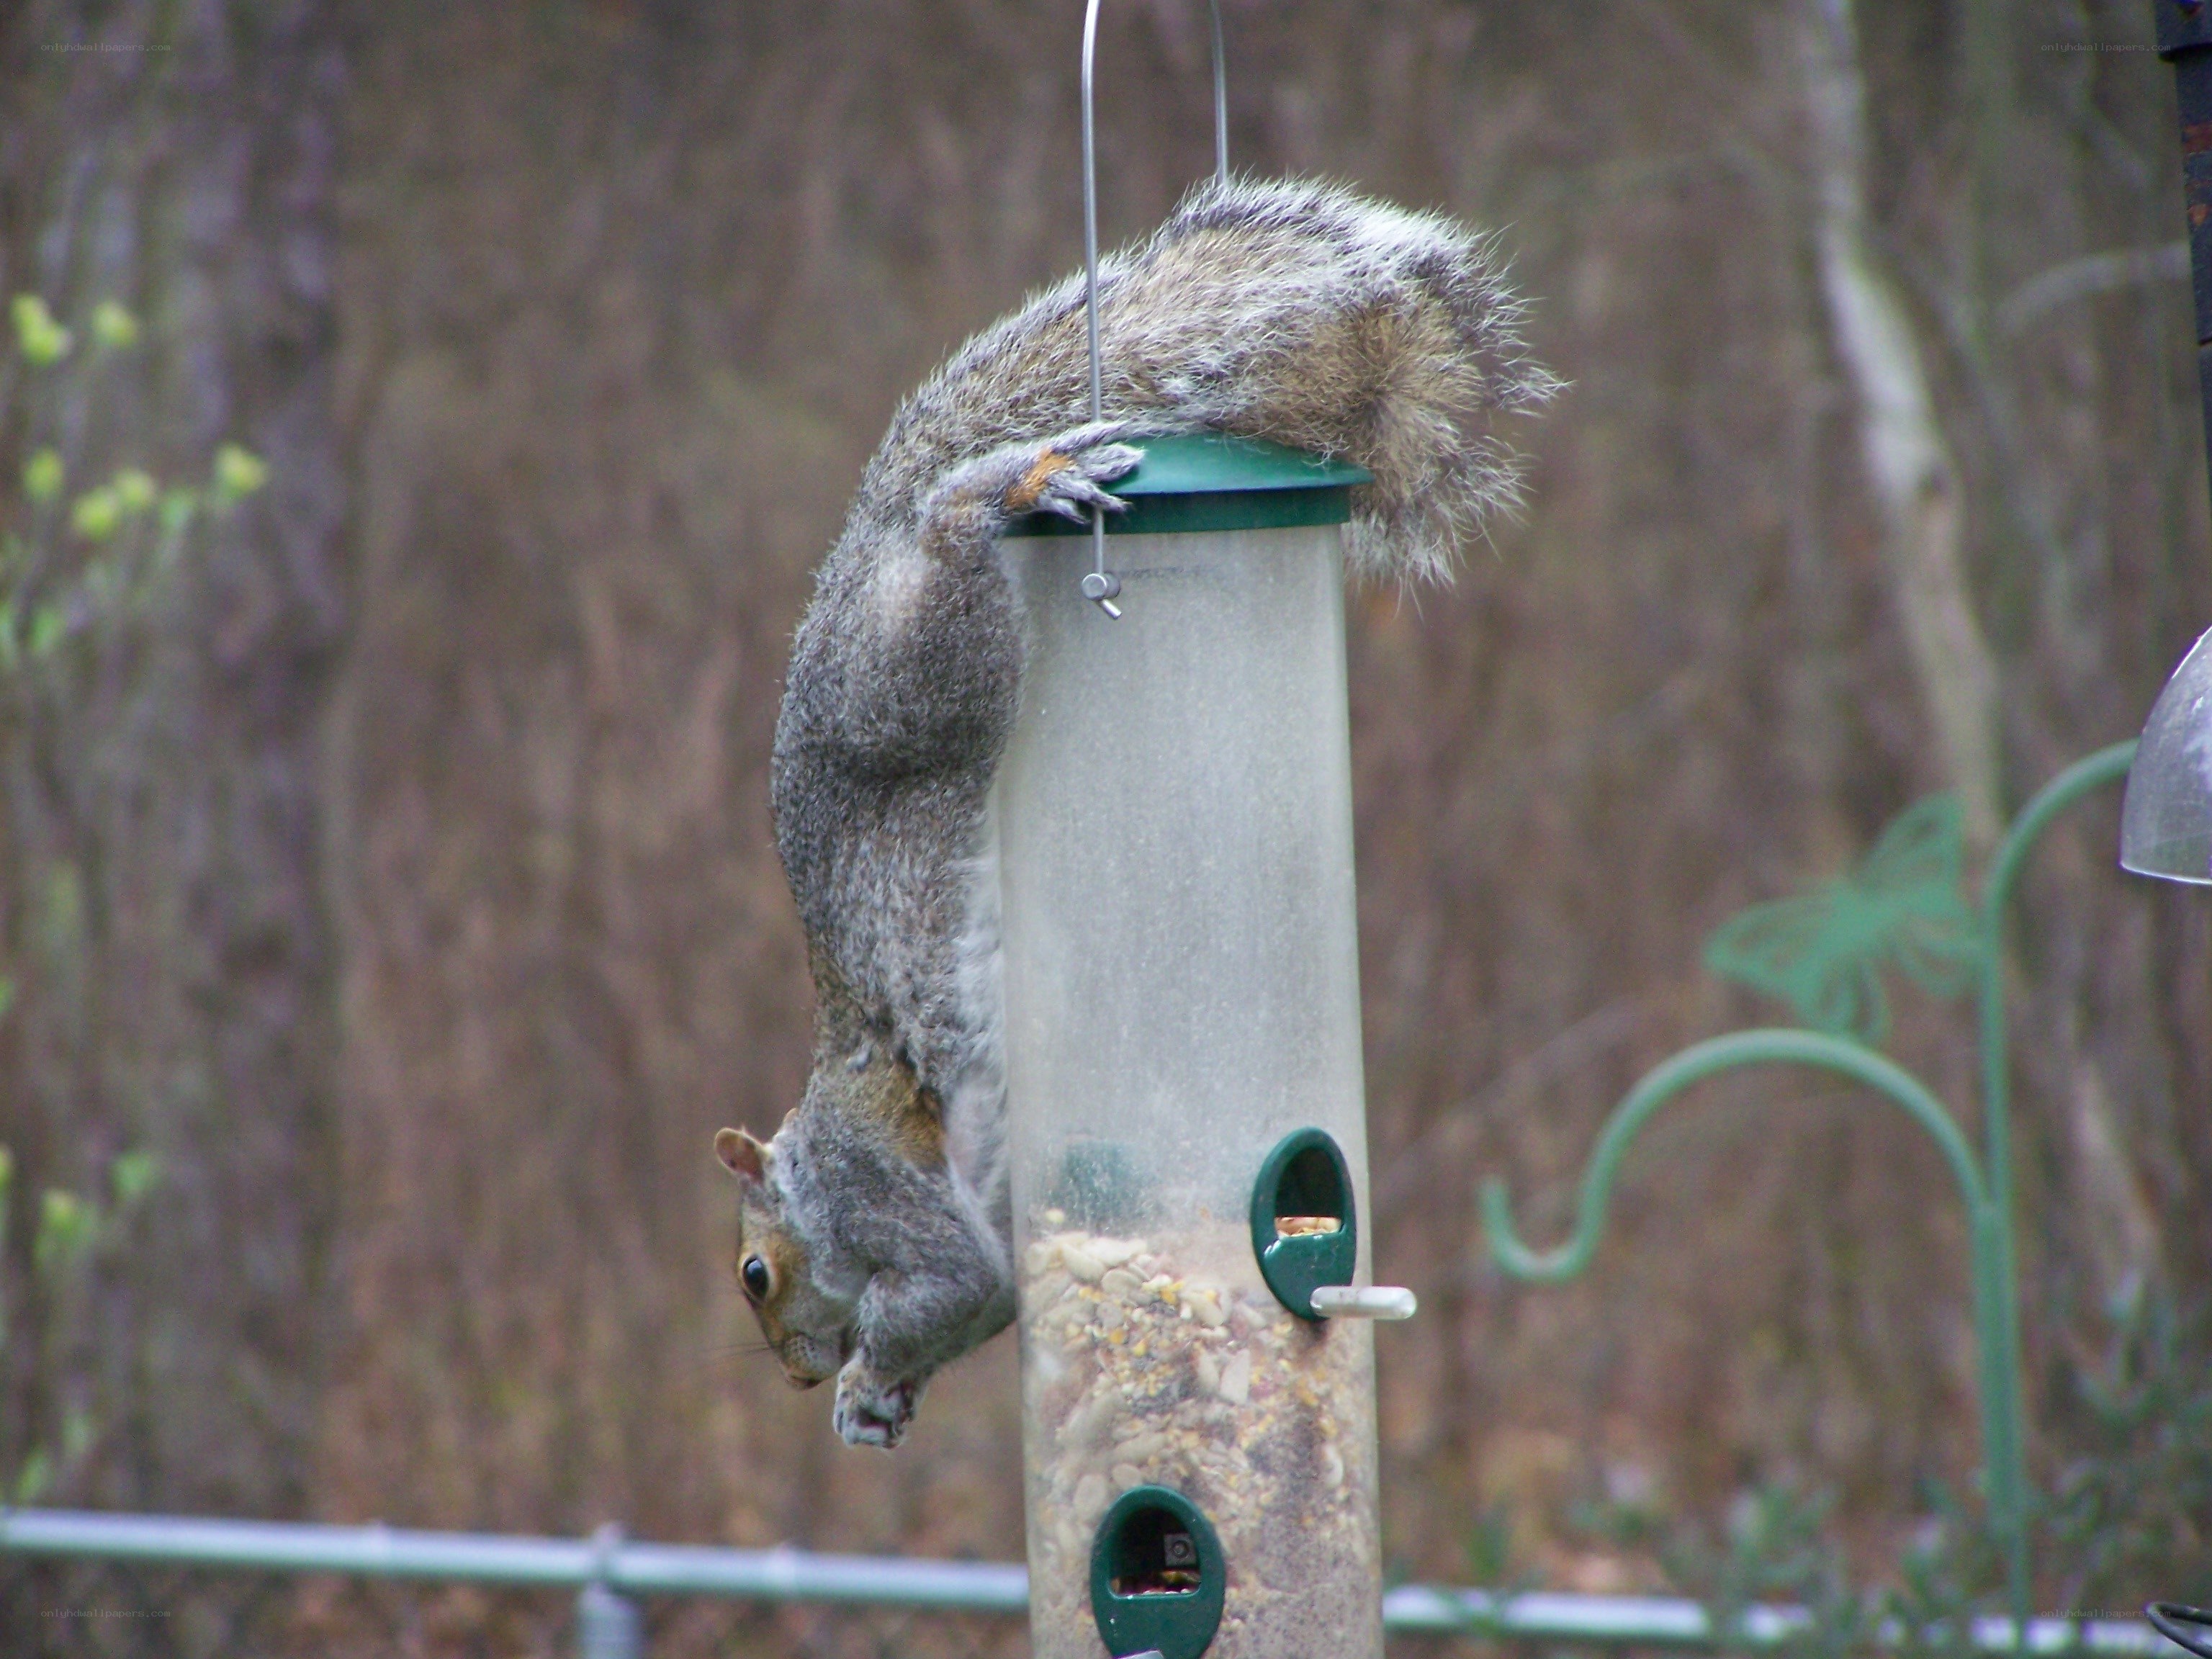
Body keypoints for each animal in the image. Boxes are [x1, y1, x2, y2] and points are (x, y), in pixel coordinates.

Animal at [714, 175, 1555, 1448]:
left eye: (755, 1275)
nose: (802, 1376)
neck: (817, 1161)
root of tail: (863, 547)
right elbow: (987, 1298)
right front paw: (883, 1403)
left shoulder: (879, 1192)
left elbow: (952, 1283)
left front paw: (870, 1378)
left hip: (914, 674)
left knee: (951, 542)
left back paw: (1010, 485)